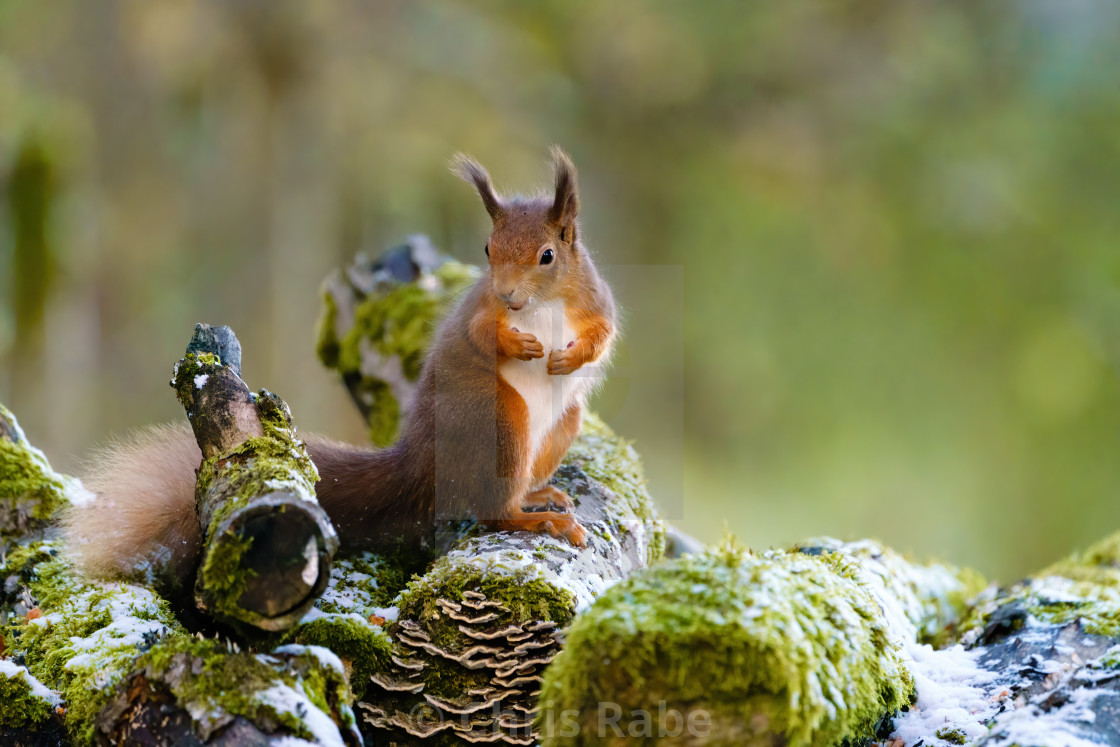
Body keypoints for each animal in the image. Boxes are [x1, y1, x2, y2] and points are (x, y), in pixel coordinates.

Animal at [65, 147, 618, 582]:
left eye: (547, 255)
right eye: (488, 248)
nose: (507, 295)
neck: (541, 306)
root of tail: (420, 465)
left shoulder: (594, 302)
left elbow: (602, 336)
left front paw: (572, 355)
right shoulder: (481, 310)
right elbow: (482, 335)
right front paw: (517, 344)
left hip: (559, 425)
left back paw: (540, 495)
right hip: (502, 420)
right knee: (489, 511)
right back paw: (534, 518)